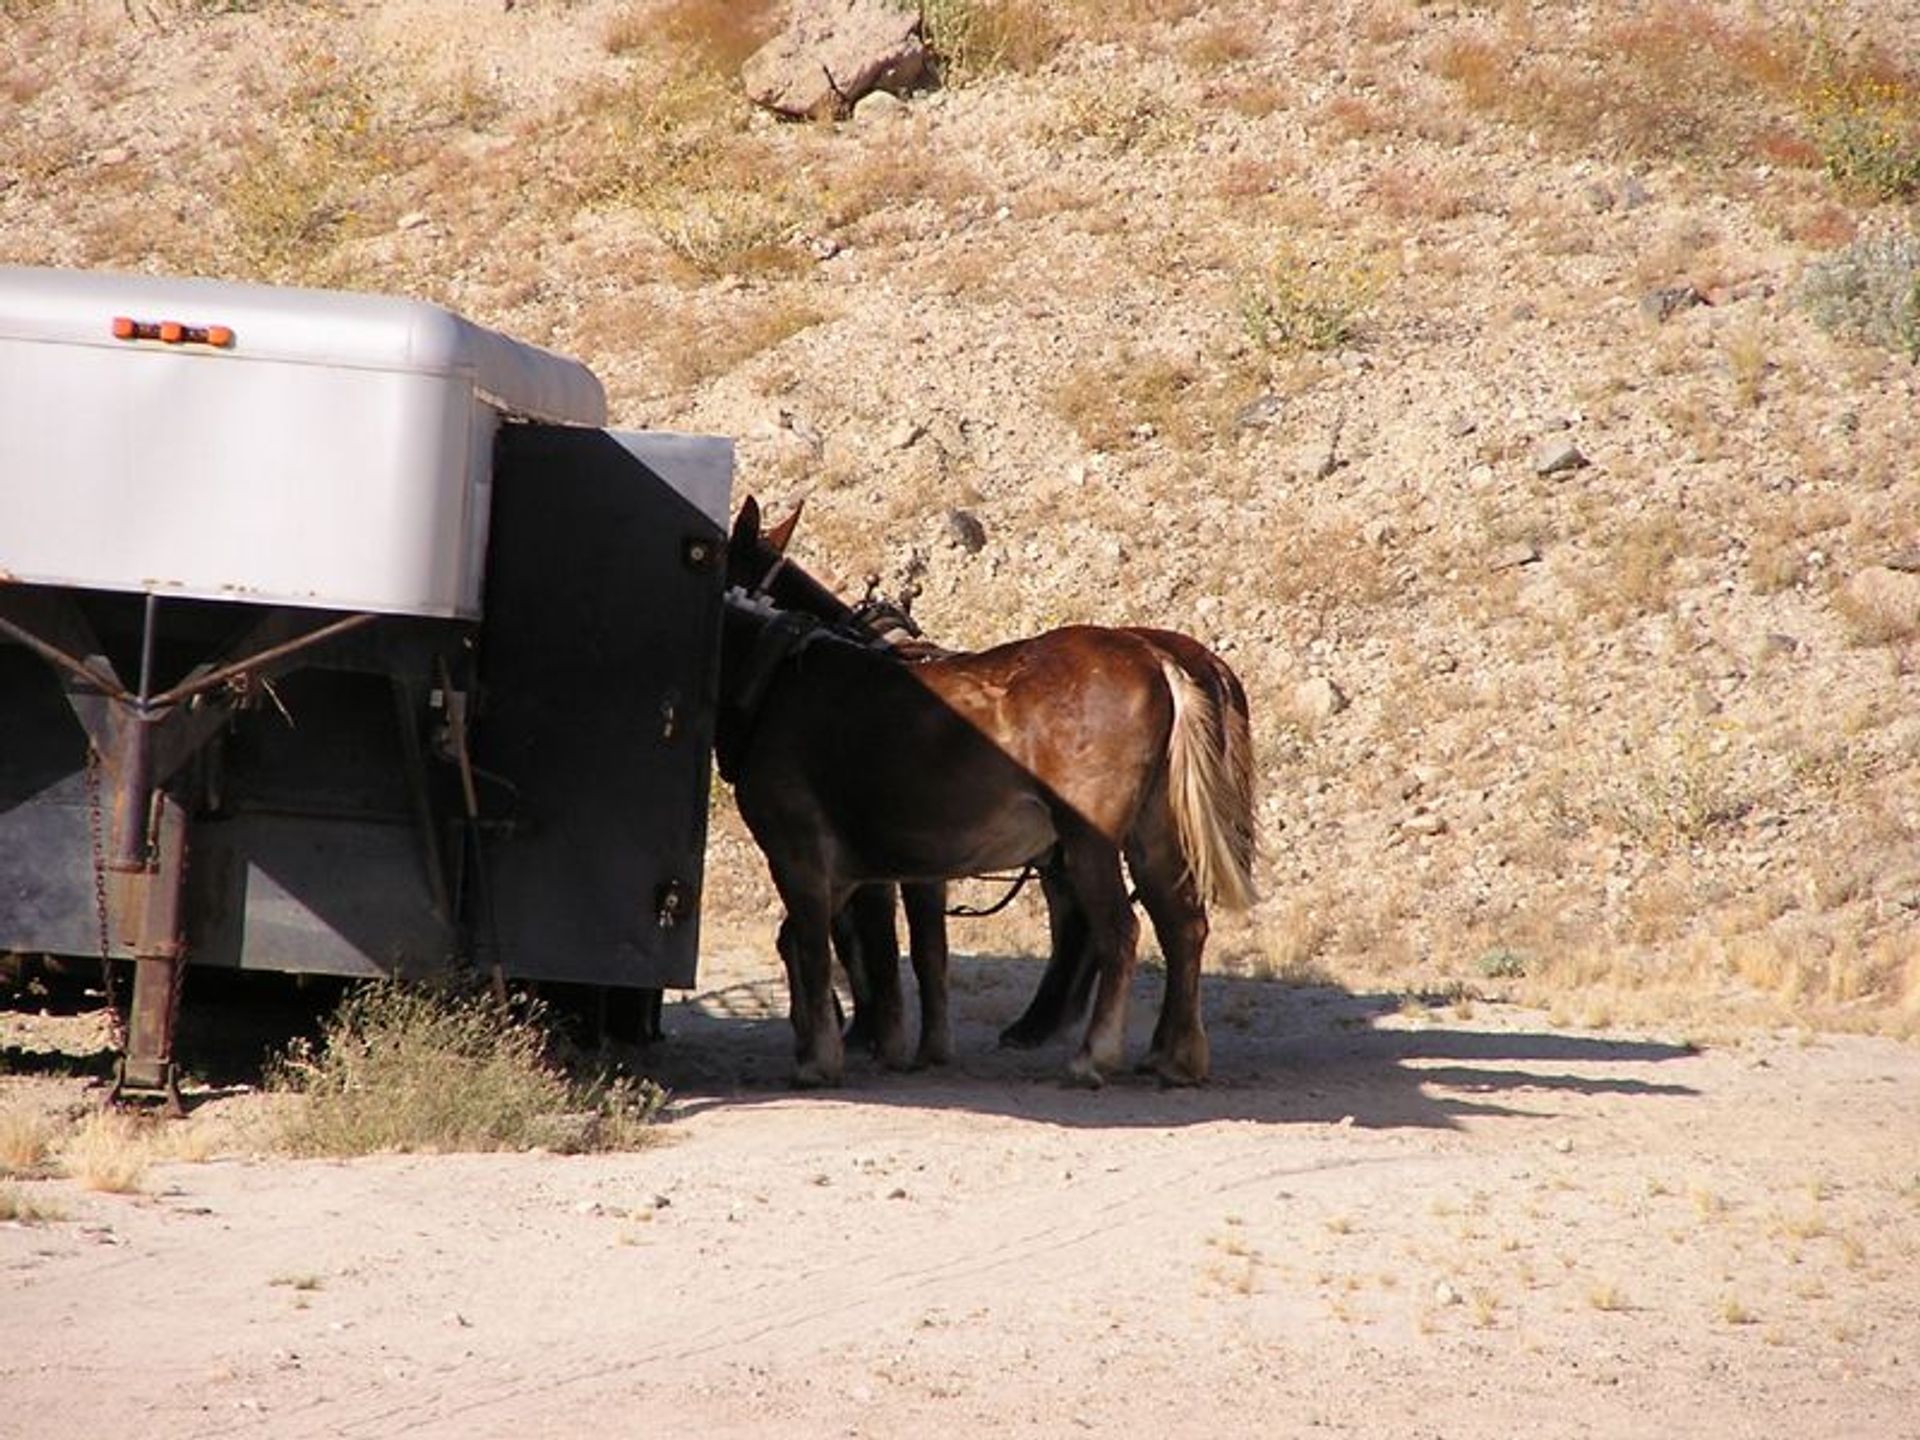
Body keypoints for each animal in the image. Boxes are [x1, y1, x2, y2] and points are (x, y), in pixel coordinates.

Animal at [721, 503, 1259, 1090]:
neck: (776, 675)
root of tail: (1160, 661)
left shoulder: (803, 855)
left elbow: (825, 944)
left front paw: (831, 1051)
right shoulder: (881, 869)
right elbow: (911, 950)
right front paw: (915, 1046)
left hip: (1086, 839)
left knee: (1116, 929)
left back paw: (1092, 1053)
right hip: (1151, 835)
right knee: (1181, 925)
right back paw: (1174, 1055)